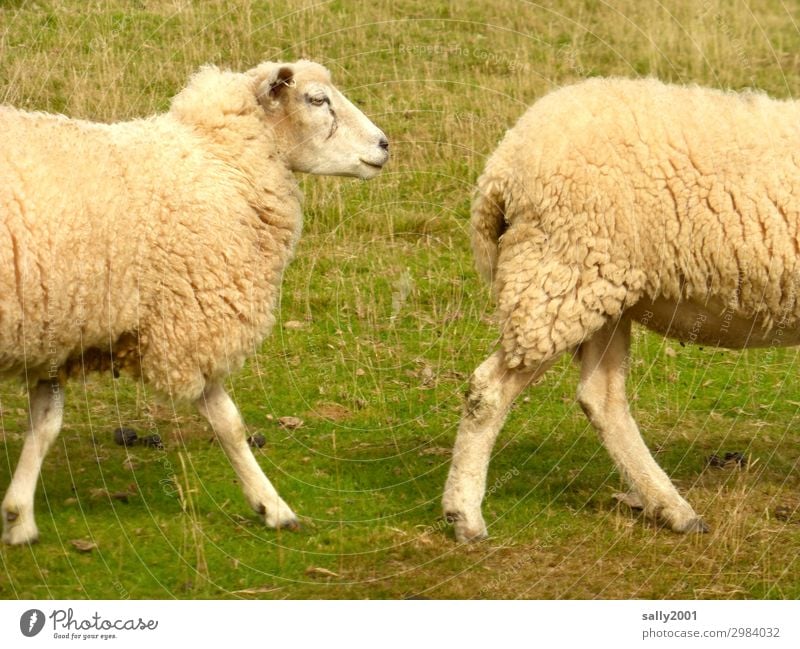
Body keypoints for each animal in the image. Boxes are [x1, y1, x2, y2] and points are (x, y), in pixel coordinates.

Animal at [0, 58, 388, 544]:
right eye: (318, 100)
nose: (384, 145)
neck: (221, 158)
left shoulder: (57, 327)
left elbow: (45, 424)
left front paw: (18, 517)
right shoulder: (189, 322)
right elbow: (229, 423)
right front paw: (272, 506)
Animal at [440, 76, 800, 540]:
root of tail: (501, 166)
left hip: (598, 293)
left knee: (601, 399)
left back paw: (670, 508)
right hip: (559, 276)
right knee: (489, 390)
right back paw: (465, 515)